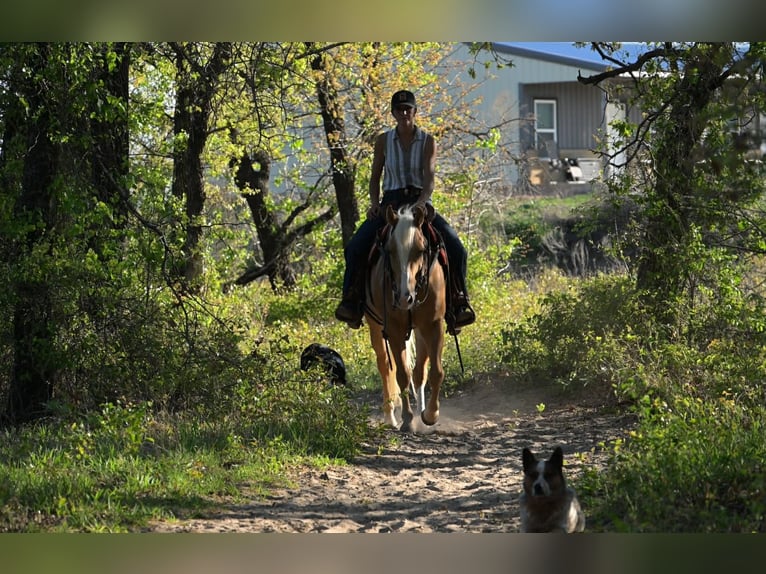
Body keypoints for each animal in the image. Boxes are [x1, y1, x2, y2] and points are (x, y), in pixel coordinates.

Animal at [364, 203, 447, 432]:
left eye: (420, 249)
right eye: (390, 251)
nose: (404, 298)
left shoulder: (433, 325)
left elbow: (435, 372)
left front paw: (430, 414)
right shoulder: (394, 331)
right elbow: (402, 374)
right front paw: (408, 419)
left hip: (419, 329)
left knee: (419, 370)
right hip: (375, 325)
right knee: (385, 366)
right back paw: (390, 416)